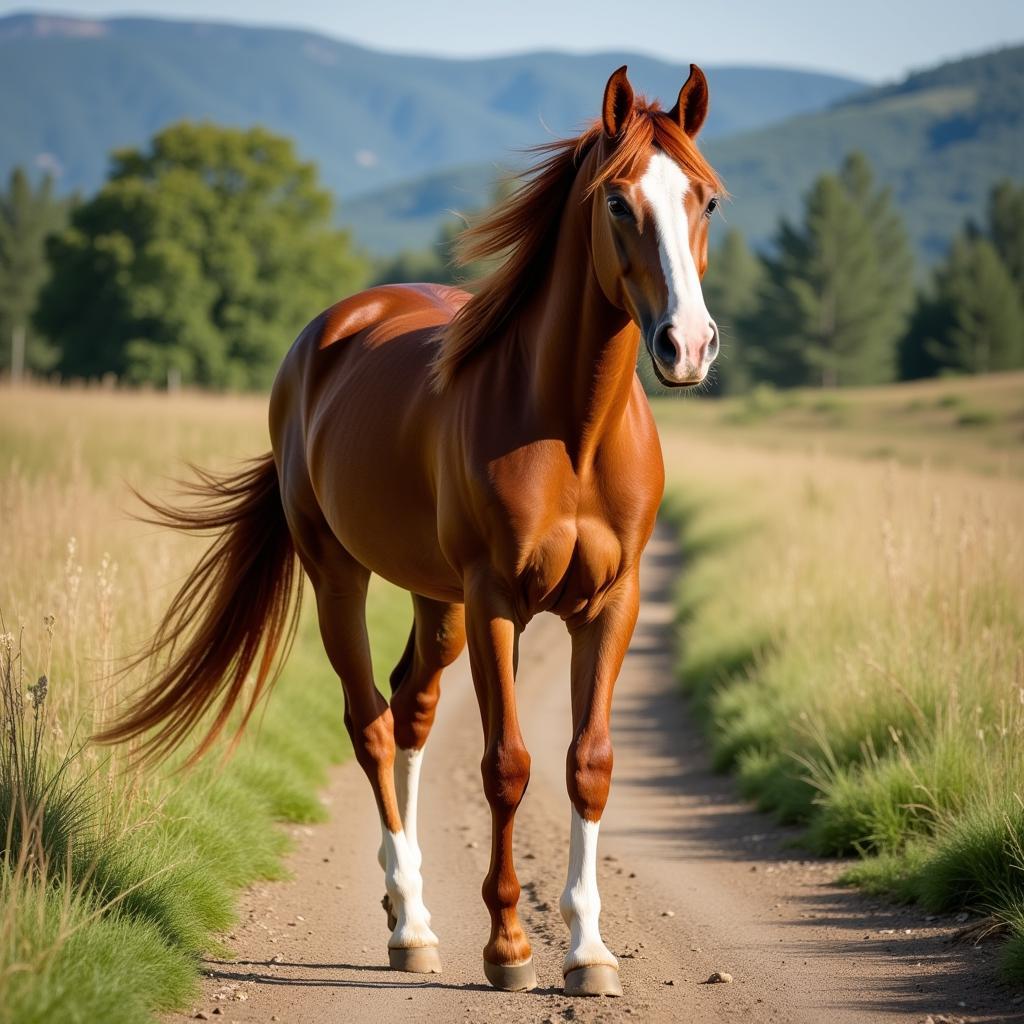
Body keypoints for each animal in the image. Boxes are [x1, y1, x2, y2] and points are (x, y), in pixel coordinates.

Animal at [96, 66, 720, 999]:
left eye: (706, 200)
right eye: (617, 202)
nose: (687, 345)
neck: (570, 432)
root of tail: (331, 331)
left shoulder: (613, 604)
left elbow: (589, 763)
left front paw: (588, 950)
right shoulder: (496, 600)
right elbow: (506, 765)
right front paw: (509, 948)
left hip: (437, 600)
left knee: (413, 709)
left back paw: (408, 911)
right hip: (342, 578)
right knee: (372, 722)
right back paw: (415, 924)